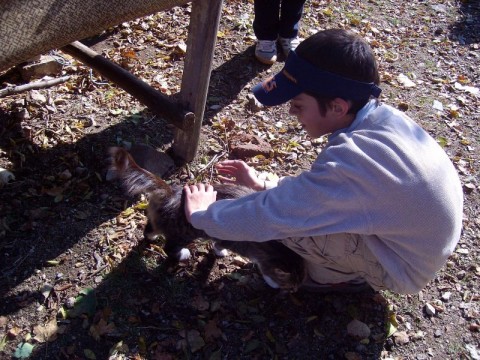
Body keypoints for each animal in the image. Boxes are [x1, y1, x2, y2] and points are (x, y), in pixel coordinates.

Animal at [108, 148, 304, 292]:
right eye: (290, 285)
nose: (294, 291)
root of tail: (171, 192)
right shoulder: (229, 237)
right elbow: (219, 244)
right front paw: (220, 252)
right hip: (183, 233)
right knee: (169, 247)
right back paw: (183, 253)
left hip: (158, 221)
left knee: (149, 229)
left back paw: (152, 237)